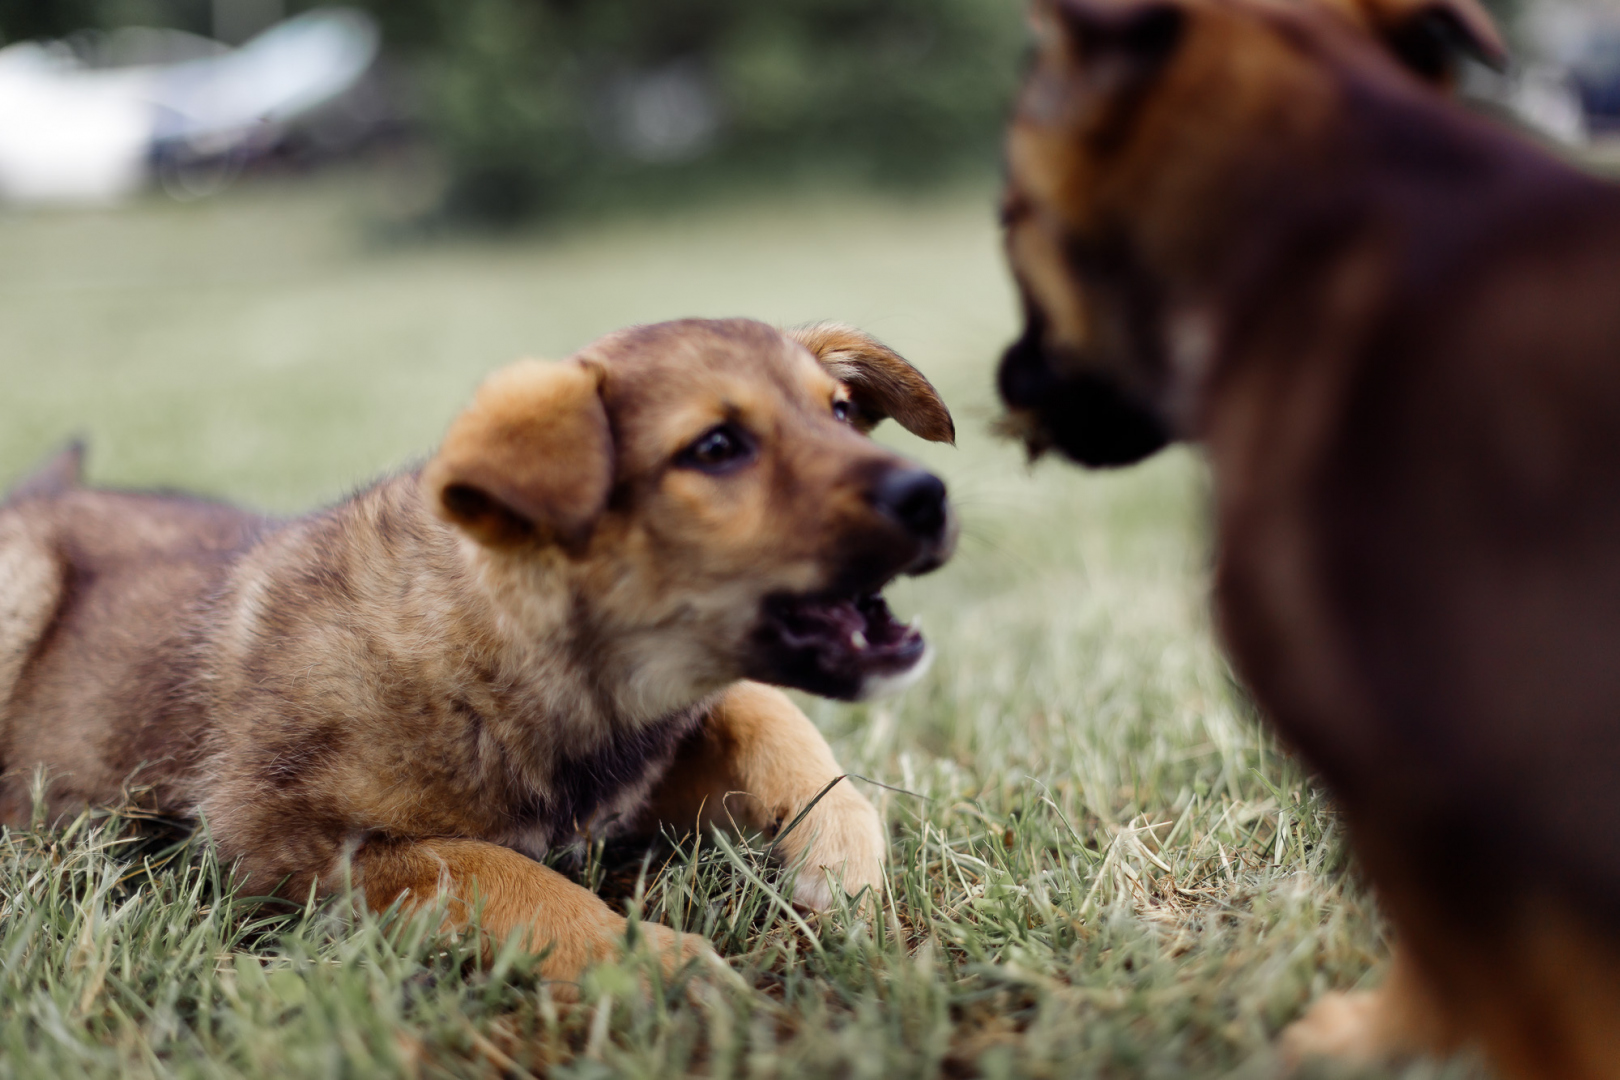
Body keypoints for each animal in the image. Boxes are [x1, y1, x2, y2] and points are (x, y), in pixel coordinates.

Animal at [0, 317, 952, 984]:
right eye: (716, 447)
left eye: (842, 414)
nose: (931, 495)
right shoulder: (287, 846)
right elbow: (492, 868)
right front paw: (658, 967)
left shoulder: (630, 784)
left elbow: (767, 711)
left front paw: (841, 855)